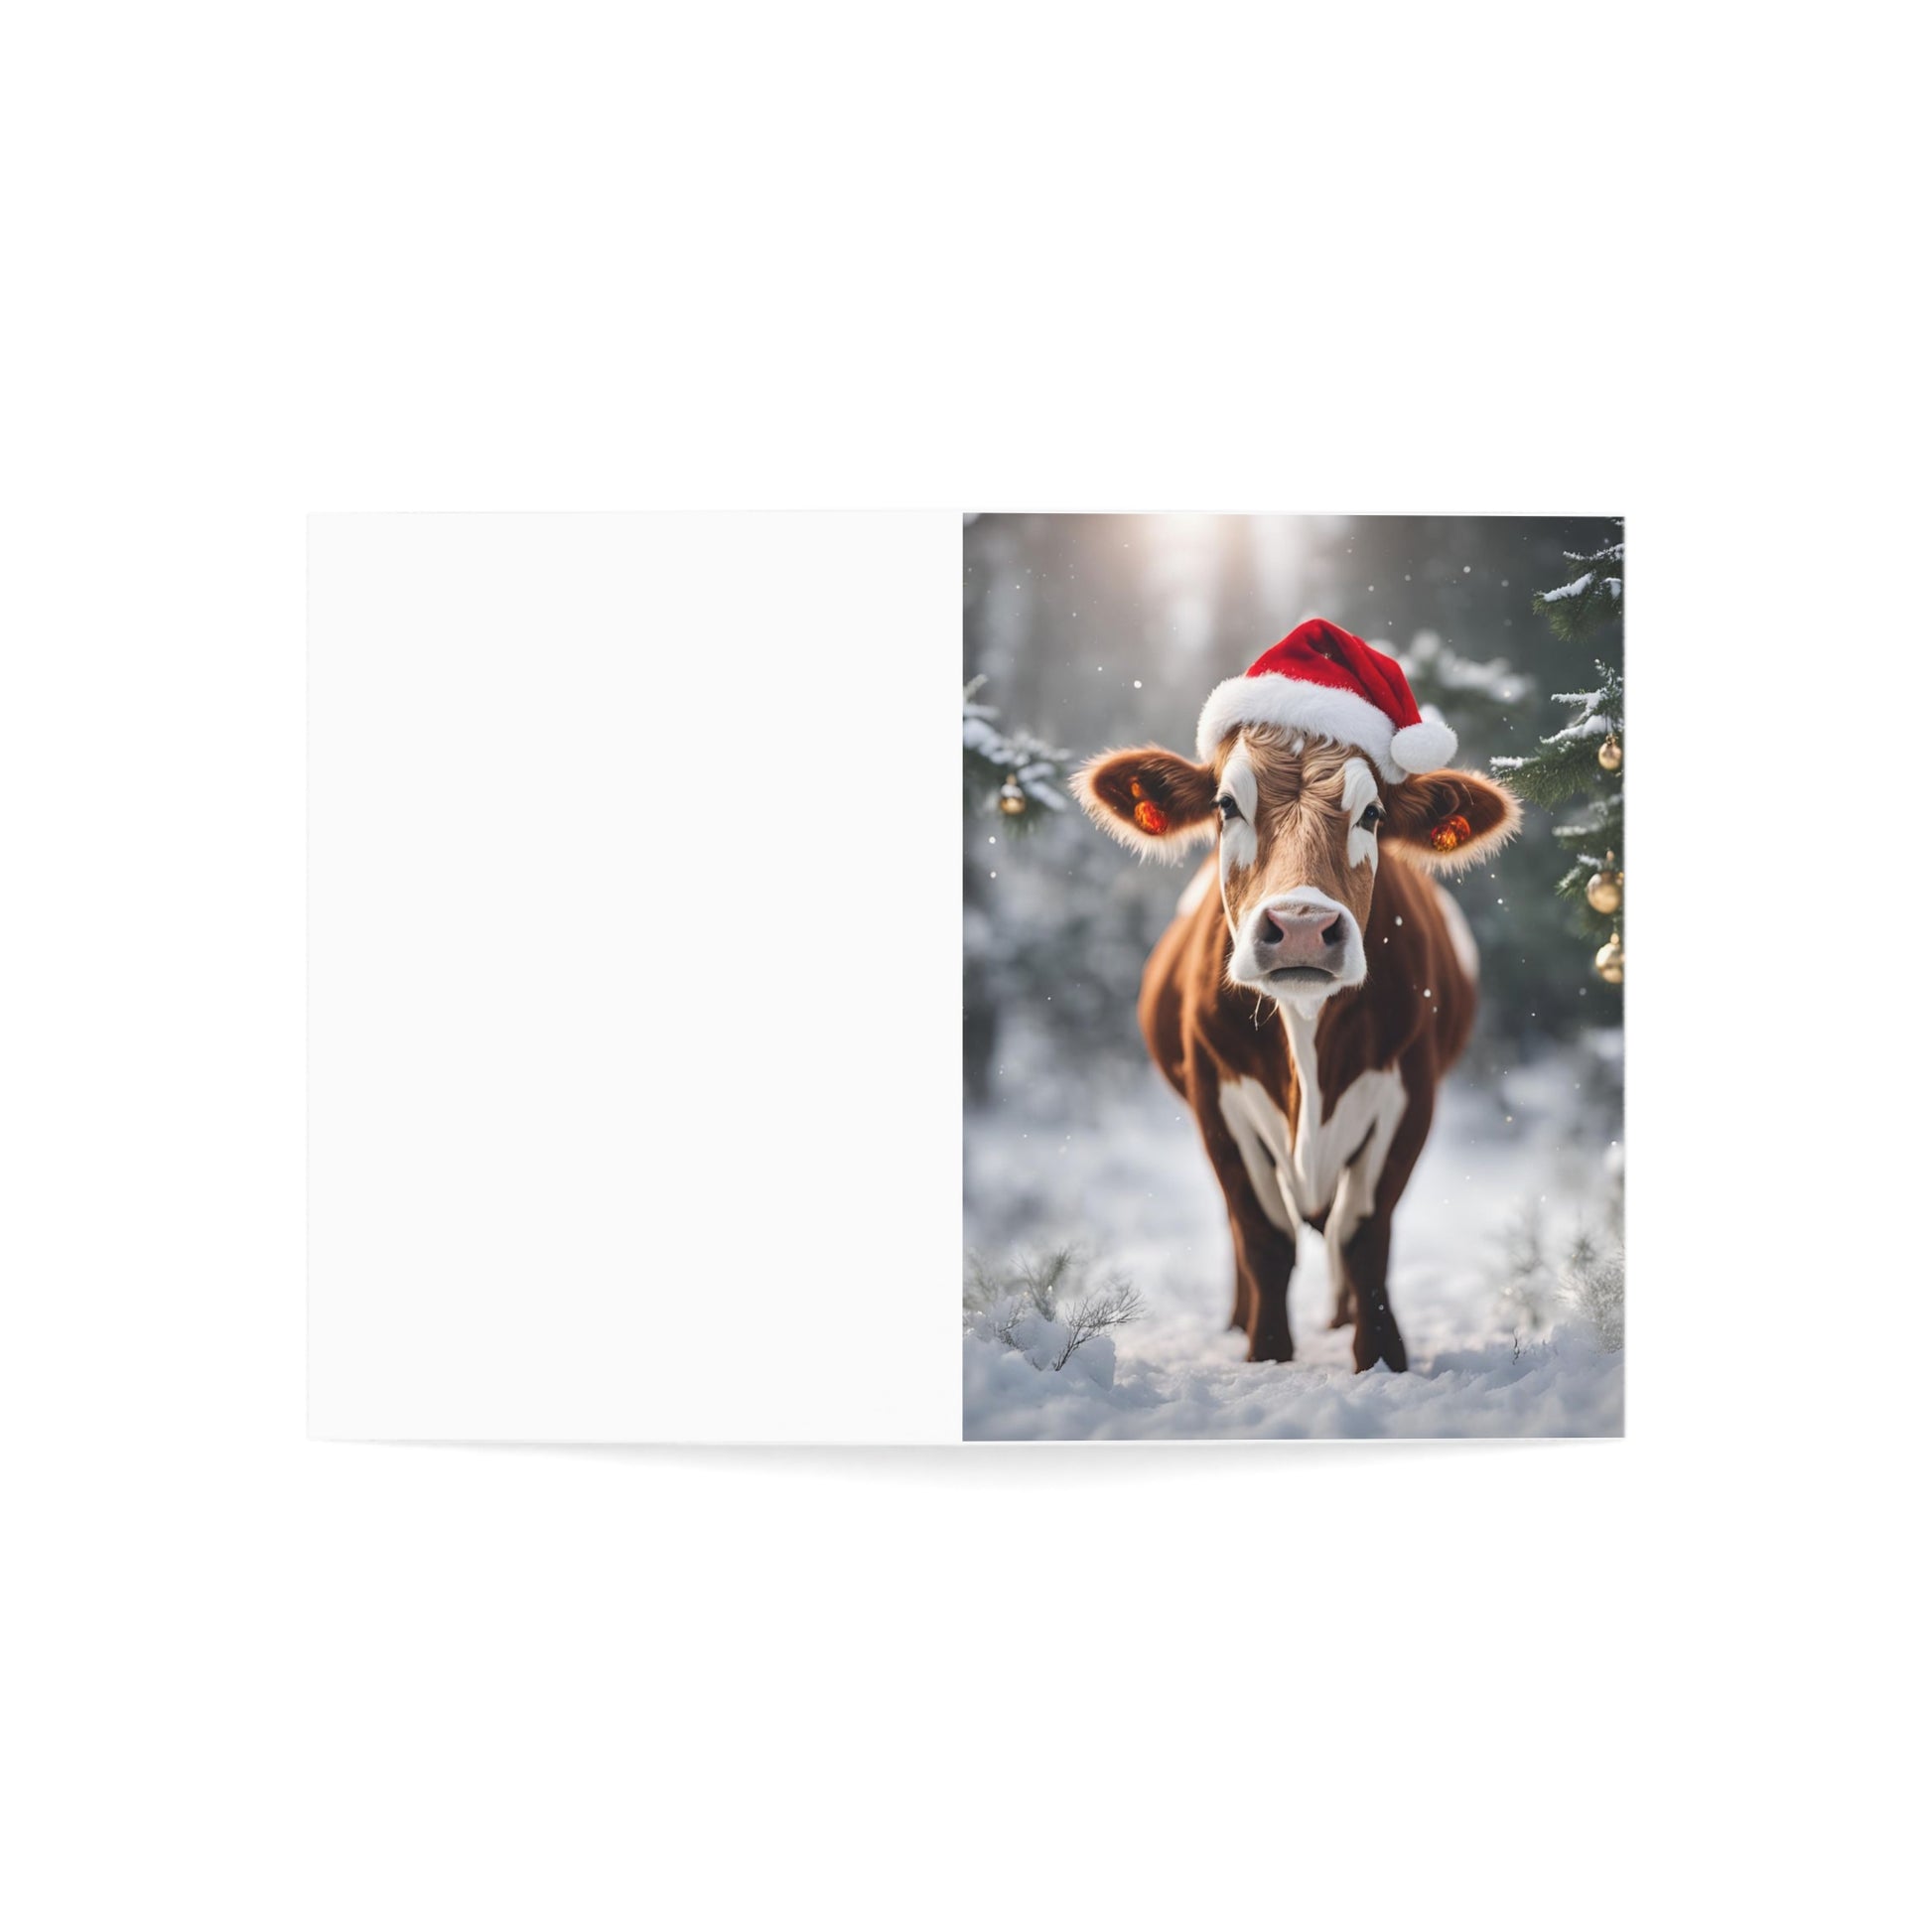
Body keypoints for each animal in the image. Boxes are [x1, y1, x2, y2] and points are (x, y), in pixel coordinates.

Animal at [1073, 618, 1521, 1371]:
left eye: (1372, 814)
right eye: (1226, 805)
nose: (1304, 926)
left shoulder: (1411, 1091)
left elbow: (1363, 1234)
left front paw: (1381, 1358)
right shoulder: (1215, 1099)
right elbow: (1263, 1236)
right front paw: (1266, 1355)